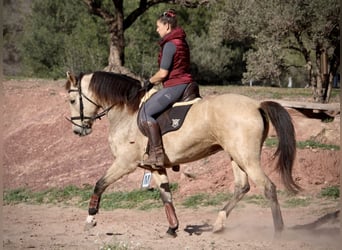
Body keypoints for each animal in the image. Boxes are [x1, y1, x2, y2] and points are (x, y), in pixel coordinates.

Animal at [64, 70, 300, 236]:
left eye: (73, 100)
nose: (77, 131)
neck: (127, 113)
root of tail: (256, 105)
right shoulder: (154, 167)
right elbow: (166, 196)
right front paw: (173, 228)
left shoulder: (125, 162)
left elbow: (100, 184)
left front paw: (90, 219)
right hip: (236, 156)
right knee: (242, 186)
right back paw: (218, 223)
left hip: (247, 158)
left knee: (268, 187)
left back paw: (278, 232)